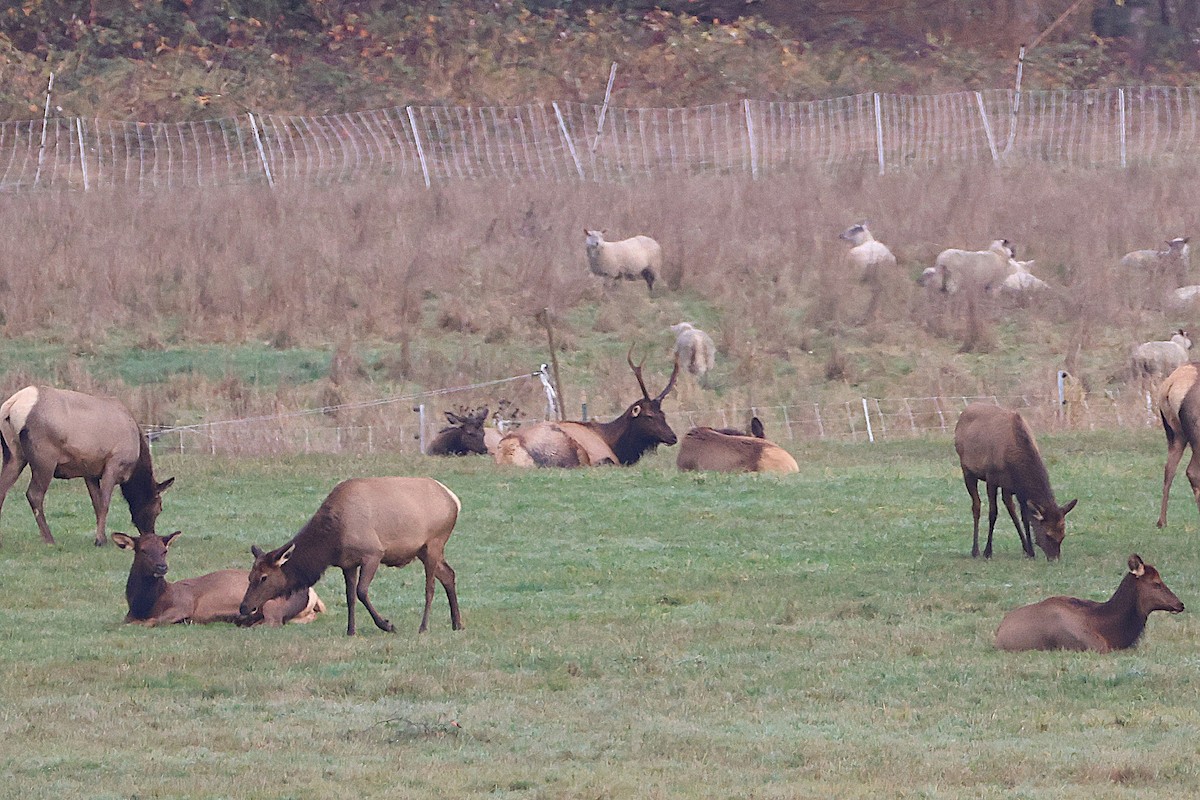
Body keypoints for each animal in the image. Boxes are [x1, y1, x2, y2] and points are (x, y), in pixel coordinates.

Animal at [113, 530, 324, 627]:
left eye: (164, 550)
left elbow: (149, 622)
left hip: (272, 602)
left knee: (272, 622)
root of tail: (312, 593)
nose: (162, 567)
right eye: (143, 550)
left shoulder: (183, 604)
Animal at [240, 477, 463, 636]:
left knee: (430, 586)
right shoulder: (347, 563)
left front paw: (387, 625)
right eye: (249, 576)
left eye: (264, 577)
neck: (331, 541)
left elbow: (361, 591)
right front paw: (351, 630)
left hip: (434, 542)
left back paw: (424, 627)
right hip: (424, 550)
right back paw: (457, 623)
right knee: (449, 575)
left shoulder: (373, 553)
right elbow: (350, 596)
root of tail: (454, 500)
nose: (244, 607)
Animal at [493, 347, 679, 467]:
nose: (673, 437)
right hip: (567, 448)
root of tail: (508, 451)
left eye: (663, 414)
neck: (617, 446)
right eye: (649, 415)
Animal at [953, 403, 1078, 560]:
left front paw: (1030, 551)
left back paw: (1024, 547)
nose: (1054, 559)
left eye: (1063, 535)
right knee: (976, 505)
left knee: (1010, 507)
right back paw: (975, 550)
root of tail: (964, 411)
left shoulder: (1017, 487)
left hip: (1006, 486)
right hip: (967, 470)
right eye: (1048, 535)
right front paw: (988, 551)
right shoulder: (992, 478)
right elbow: (993, 513)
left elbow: (1025, 517)